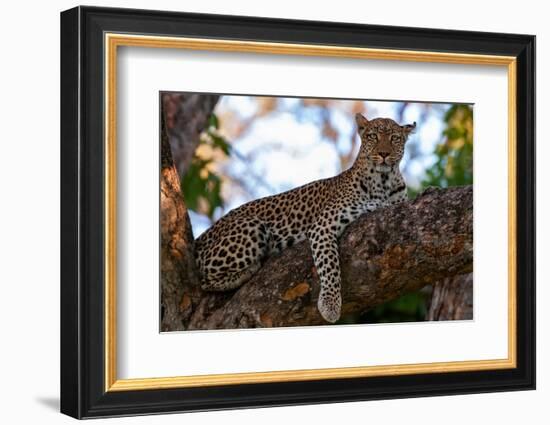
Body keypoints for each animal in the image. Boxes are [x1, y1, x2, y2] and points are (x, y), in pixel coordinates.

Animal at [196, 112, 416, 322]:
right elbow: (329, 265)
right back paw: (247, 271)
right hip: (252, 226)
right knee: (203, 279)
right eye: (373, 136)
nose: (384, 153)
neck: (384, 182)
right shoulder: (323, 225)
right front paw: (330, 305)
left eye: (395, 138)